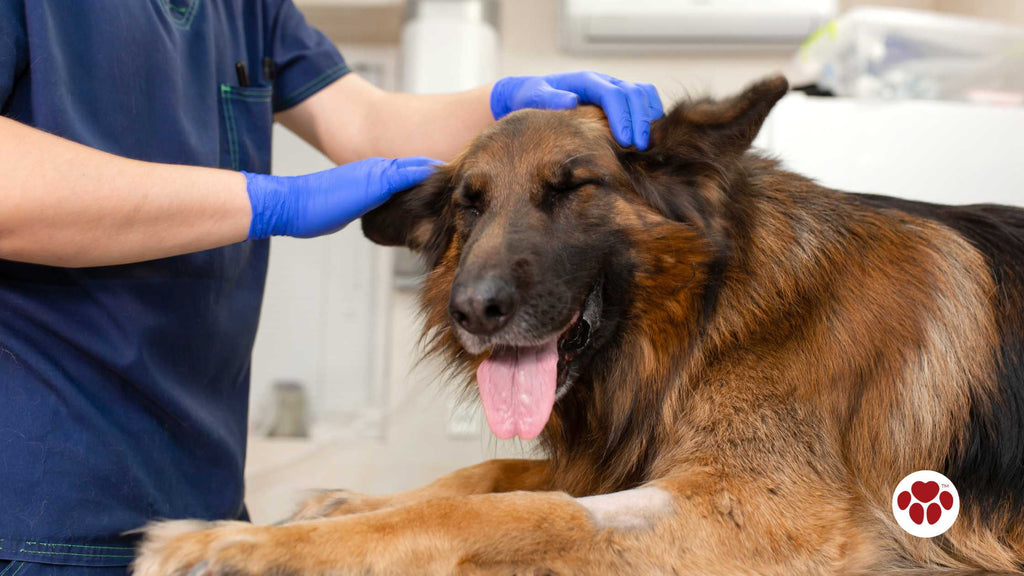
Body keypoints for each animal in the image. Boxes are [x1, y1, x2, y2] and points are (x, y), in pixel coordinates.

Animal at [136, 76, 1024, 573]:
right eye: (470, 204)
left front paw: (240, 548)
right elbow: (485, 474)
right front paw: (344, 504)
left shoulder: (757, 513)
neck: (711, 312)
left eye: (572, 188)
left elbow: (511, 511)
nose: (473, 311)